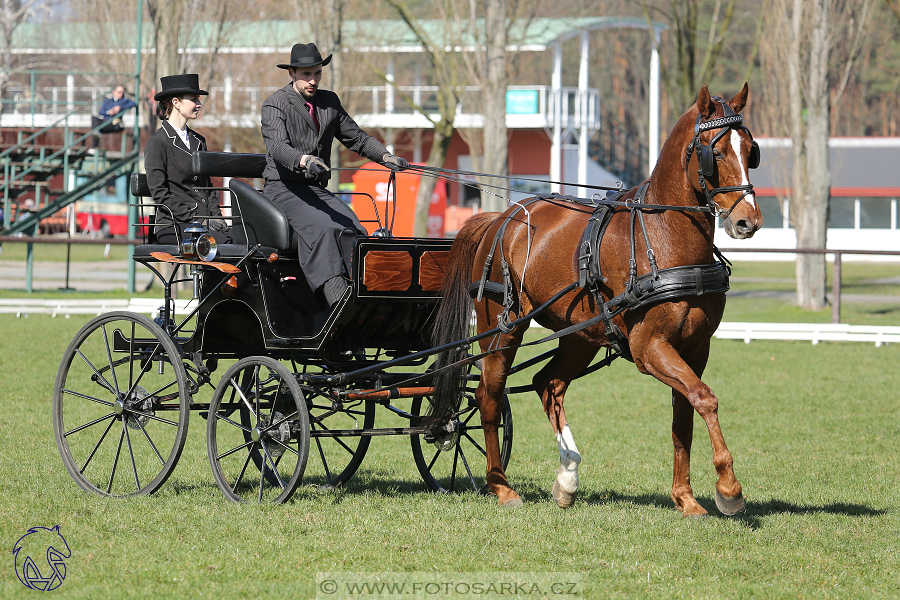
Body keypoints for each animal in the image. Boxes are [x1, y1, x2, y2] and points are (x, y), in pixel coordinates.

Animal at [432, 84, 764, 516]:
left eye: (751, 150)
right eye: (715, 152)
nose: (748, 221)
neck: (664, 237)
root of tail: (499, 219)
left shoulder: (695, 348)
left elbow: (685, 415)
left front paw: (686, 497)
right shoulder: (649, 348)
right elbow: (705, 399)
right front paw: (729, 488)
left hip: (580, 334)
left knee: (548, 385)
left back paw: (567, 477)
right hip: (499, 330)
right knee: (488, 395)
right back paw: (501, 486)